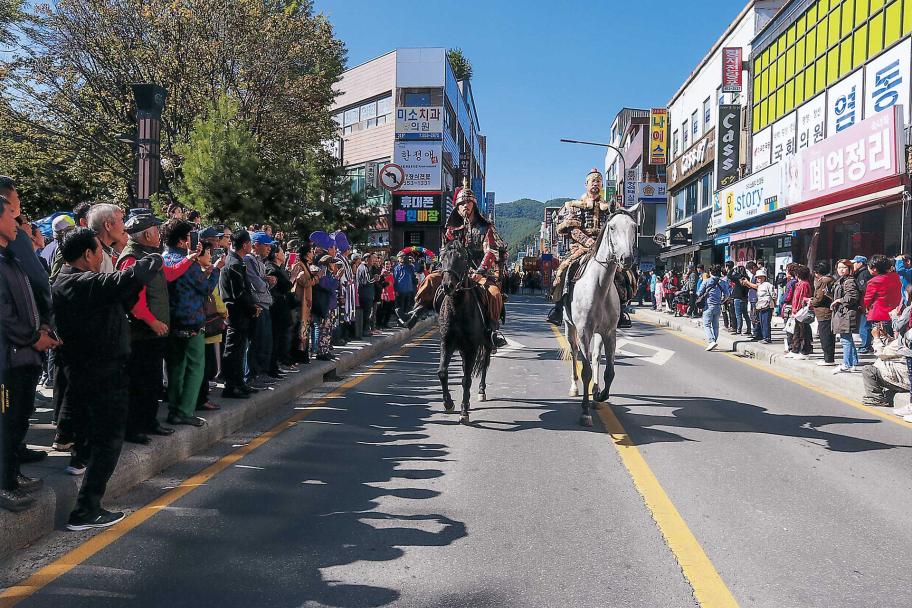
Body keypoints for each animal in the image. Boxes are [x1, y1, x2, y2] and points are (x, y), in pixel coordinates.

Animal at [568, 209, 636, 428]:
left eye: (634, 227)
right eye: (612, 227)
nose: (626, 259)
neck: (600, 285)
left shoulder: (609, 332)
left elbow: (610, 371)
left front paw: (599, 396)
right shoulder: (584, 331)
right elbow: (586, 371)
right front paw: (585, 412)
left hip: (598, 333)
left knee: (596, 357)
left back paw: (596, 393)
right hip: (570, 327)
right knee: (574, 353)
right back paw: (574, 387)